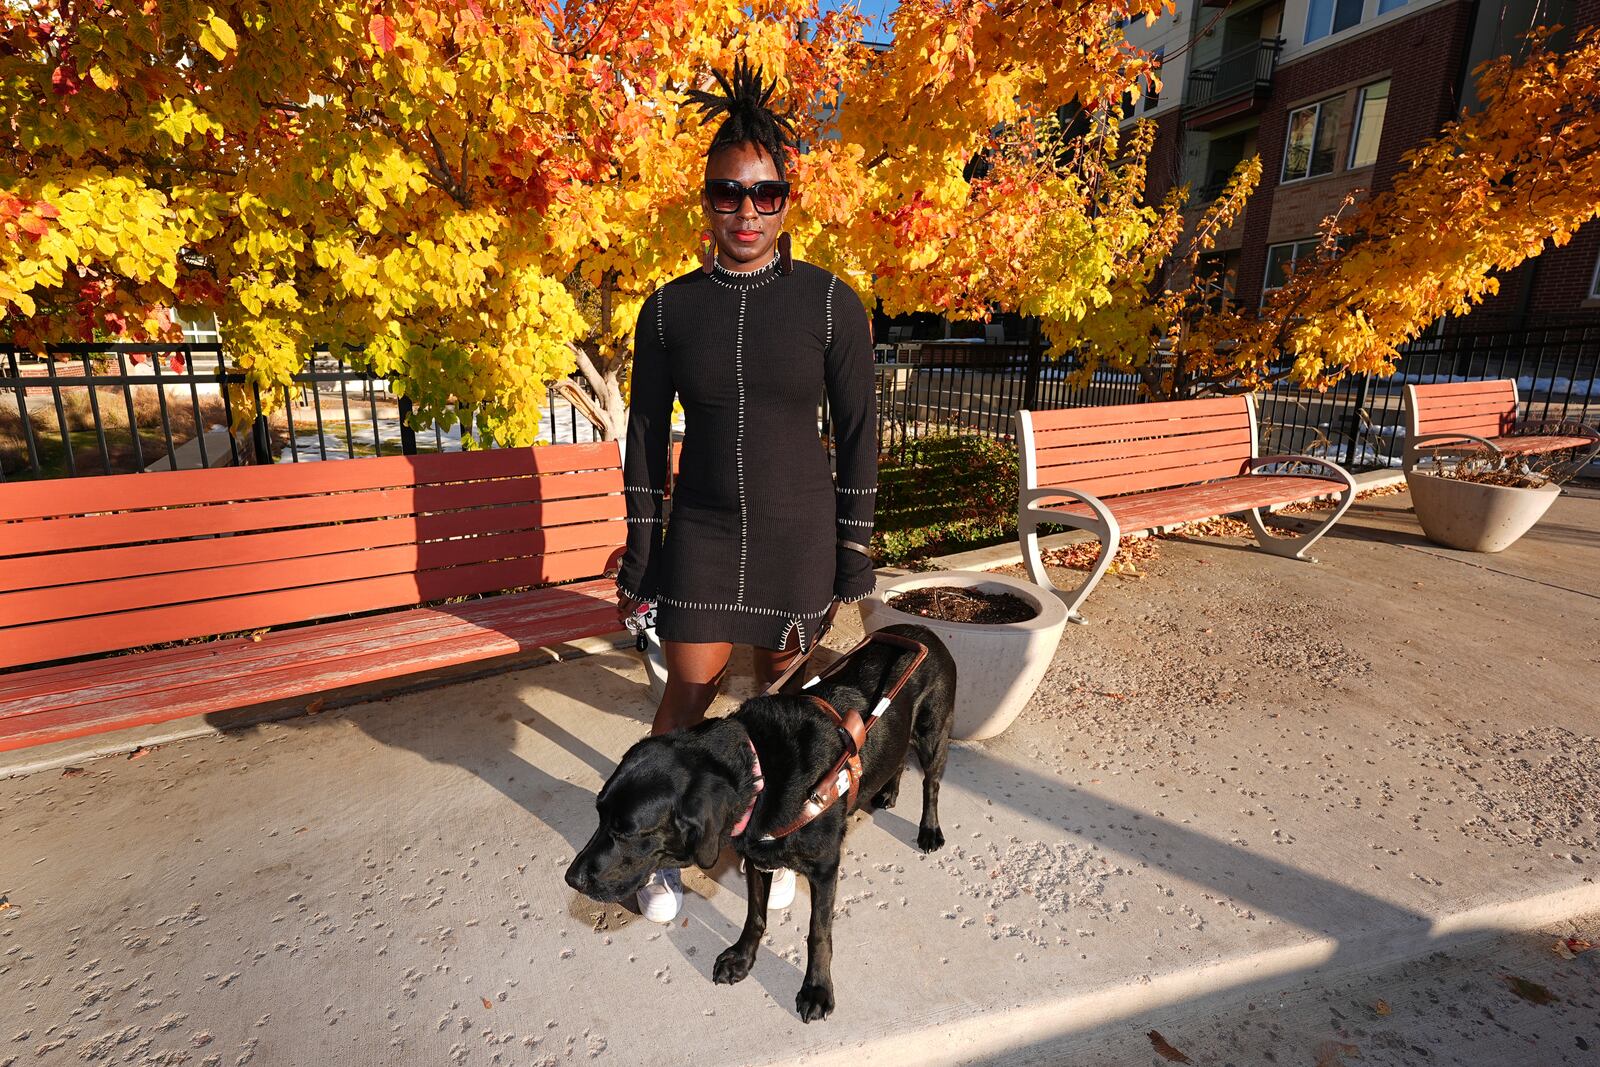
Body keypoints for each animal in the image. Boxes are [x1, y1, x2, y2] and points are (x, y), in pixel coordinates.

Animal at [569, 620, 953, 1023]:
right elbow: (755, 914)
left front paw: (817, 988)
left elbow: (818, 932)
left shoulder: (825, 868)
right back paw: (888, 792)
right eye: (599, 814)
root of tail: (923, 627)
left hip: (933, 735)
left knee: (931, 782)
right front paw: (742, 958)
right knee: (899, 756)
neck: (761, 770)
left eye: (626, 832)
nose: (571, 880)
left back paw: (929, 829)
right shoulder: (758, 856)